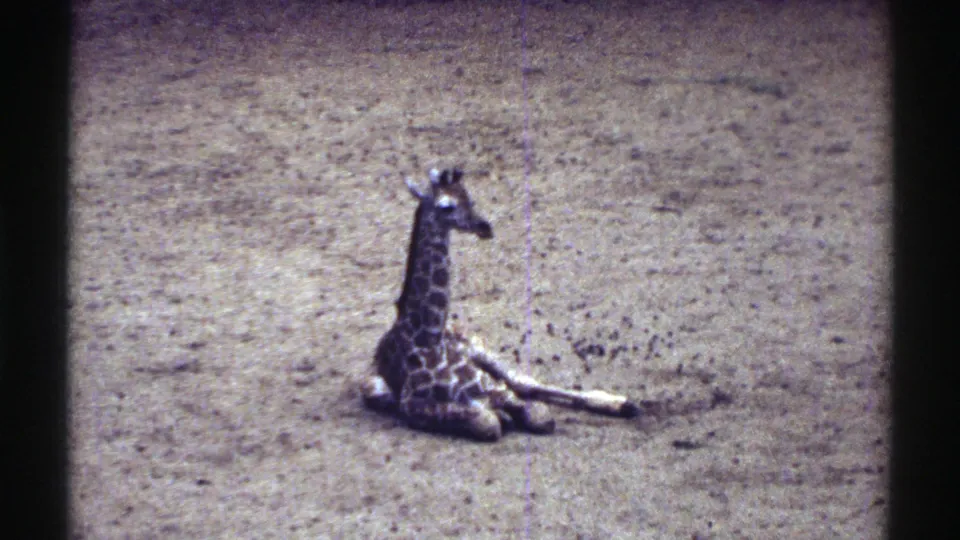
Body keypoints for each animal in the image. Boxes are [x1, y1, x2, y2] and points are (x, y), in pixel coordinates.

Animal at [362, 168, 640, 441]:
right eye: (446, 206)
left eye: (469, 197)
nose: (484, 226)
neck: (428, 338)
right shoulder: (412, 404)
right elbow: (488, 422)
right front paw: (500, 416)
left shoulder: (494, 388)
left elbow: (539, 415)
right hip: (376, 389)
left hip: (481, 350)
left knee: (525, 383)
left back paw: (624, 404)